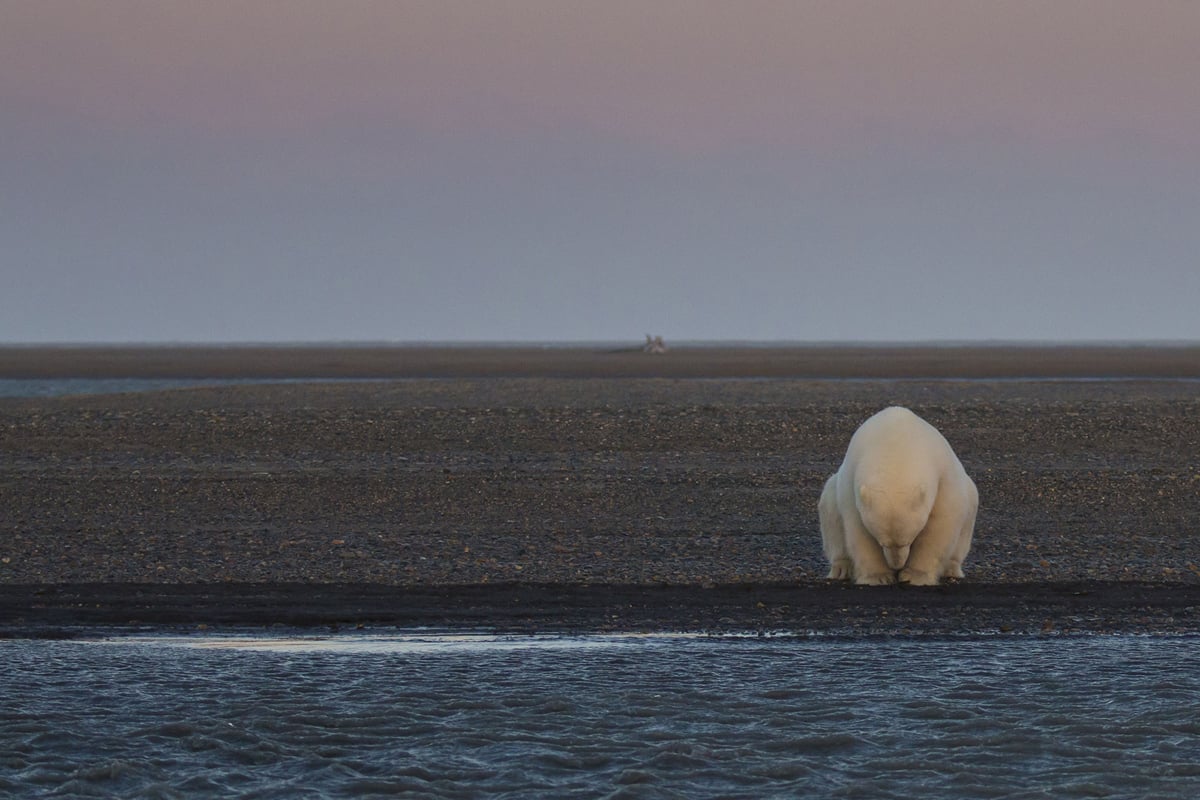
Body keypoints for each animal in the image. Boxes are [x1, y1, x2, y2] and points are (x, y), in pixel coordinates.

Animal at [820, 410, 979, 585]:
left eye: (908, 541)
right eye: (882, 542)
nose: (896, 566)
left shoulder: (943, 476)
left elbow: (939, 526)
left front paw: (915, 576)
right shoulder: (851, 483)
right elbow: (858, 530)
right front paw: (878, 577)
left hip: (970, 498)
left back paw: (951, 569)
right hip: (832, 493)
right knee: (830, 514)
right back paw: (841, 569)